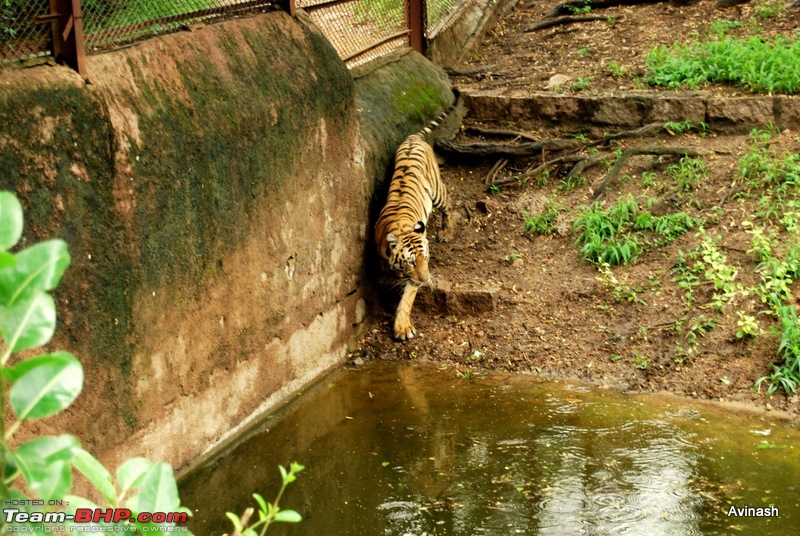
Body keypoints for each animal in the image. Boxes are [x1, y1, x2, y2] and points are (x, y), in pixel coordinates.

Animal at [374, 91, 460, 342]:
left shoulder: (412, 280)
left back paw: (446, 231)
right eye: (411, 261)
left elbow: (406, 297)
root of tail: (413, 137)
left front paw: (402, 328)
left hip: (437, 192)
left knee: (448, 205)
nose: (425, 280)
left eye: (427, 259)